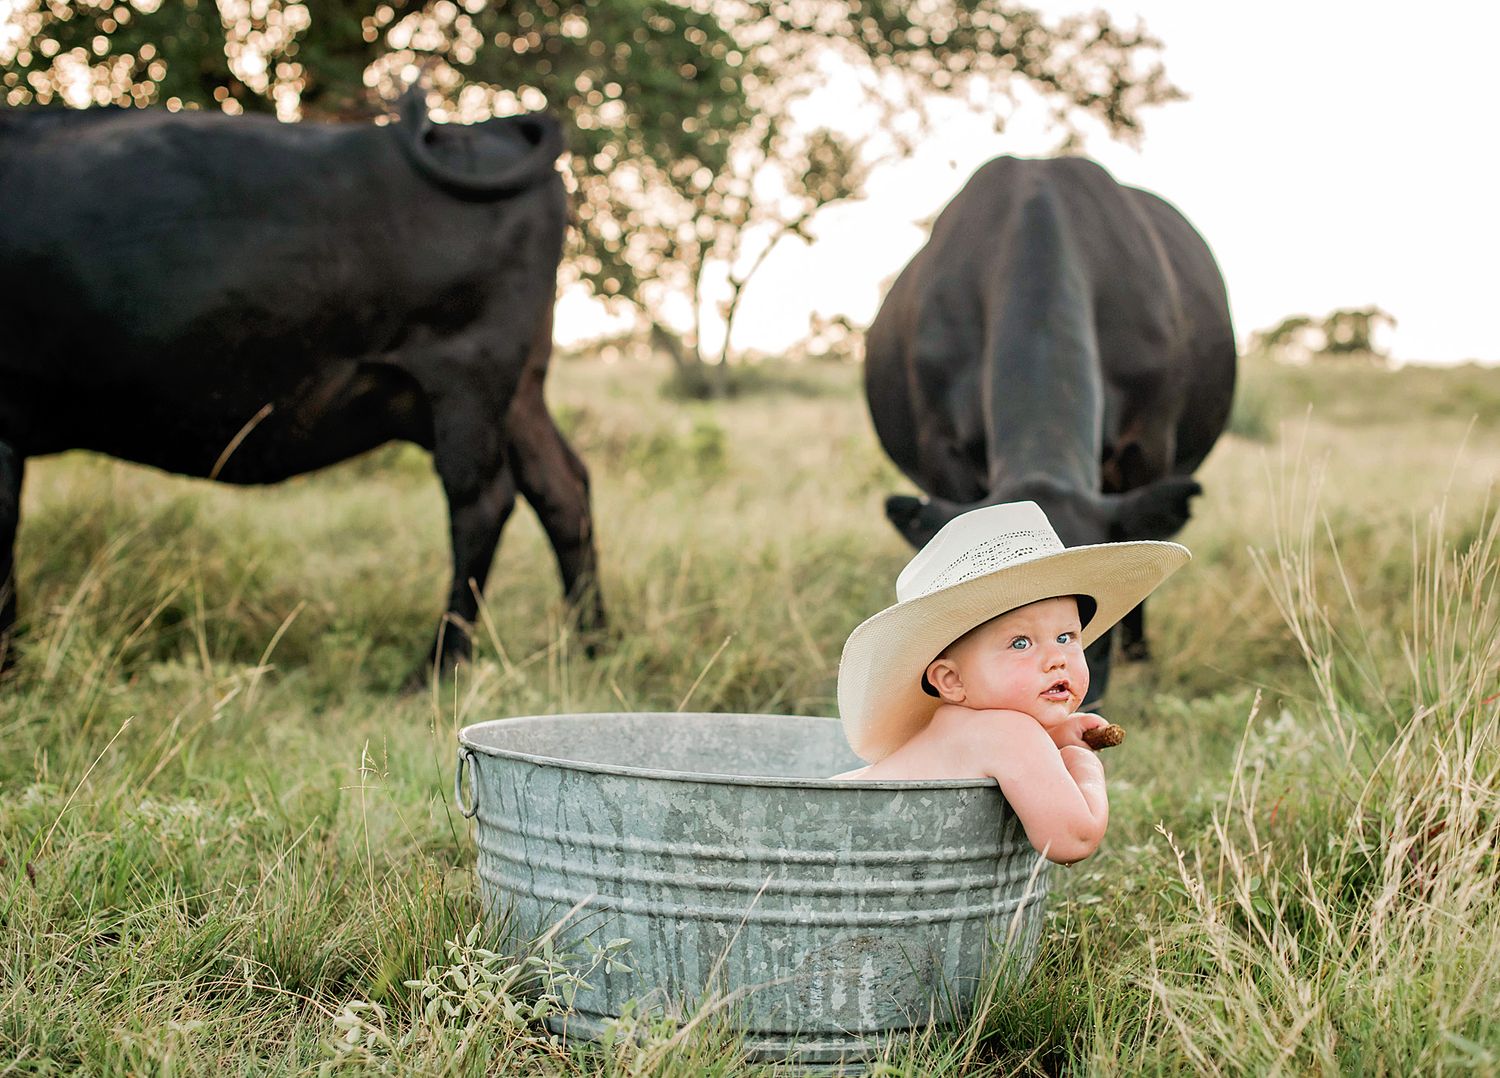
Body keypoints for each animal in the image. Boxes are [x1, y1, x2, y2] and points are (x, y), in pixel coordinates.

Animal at [0, 89, 604, 681]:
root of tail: (487, 128)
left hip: (466, 377)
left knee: (481, 502)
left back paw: (440, 667)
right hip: (516, 392)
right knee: (561, 488)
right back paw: (592, 646)